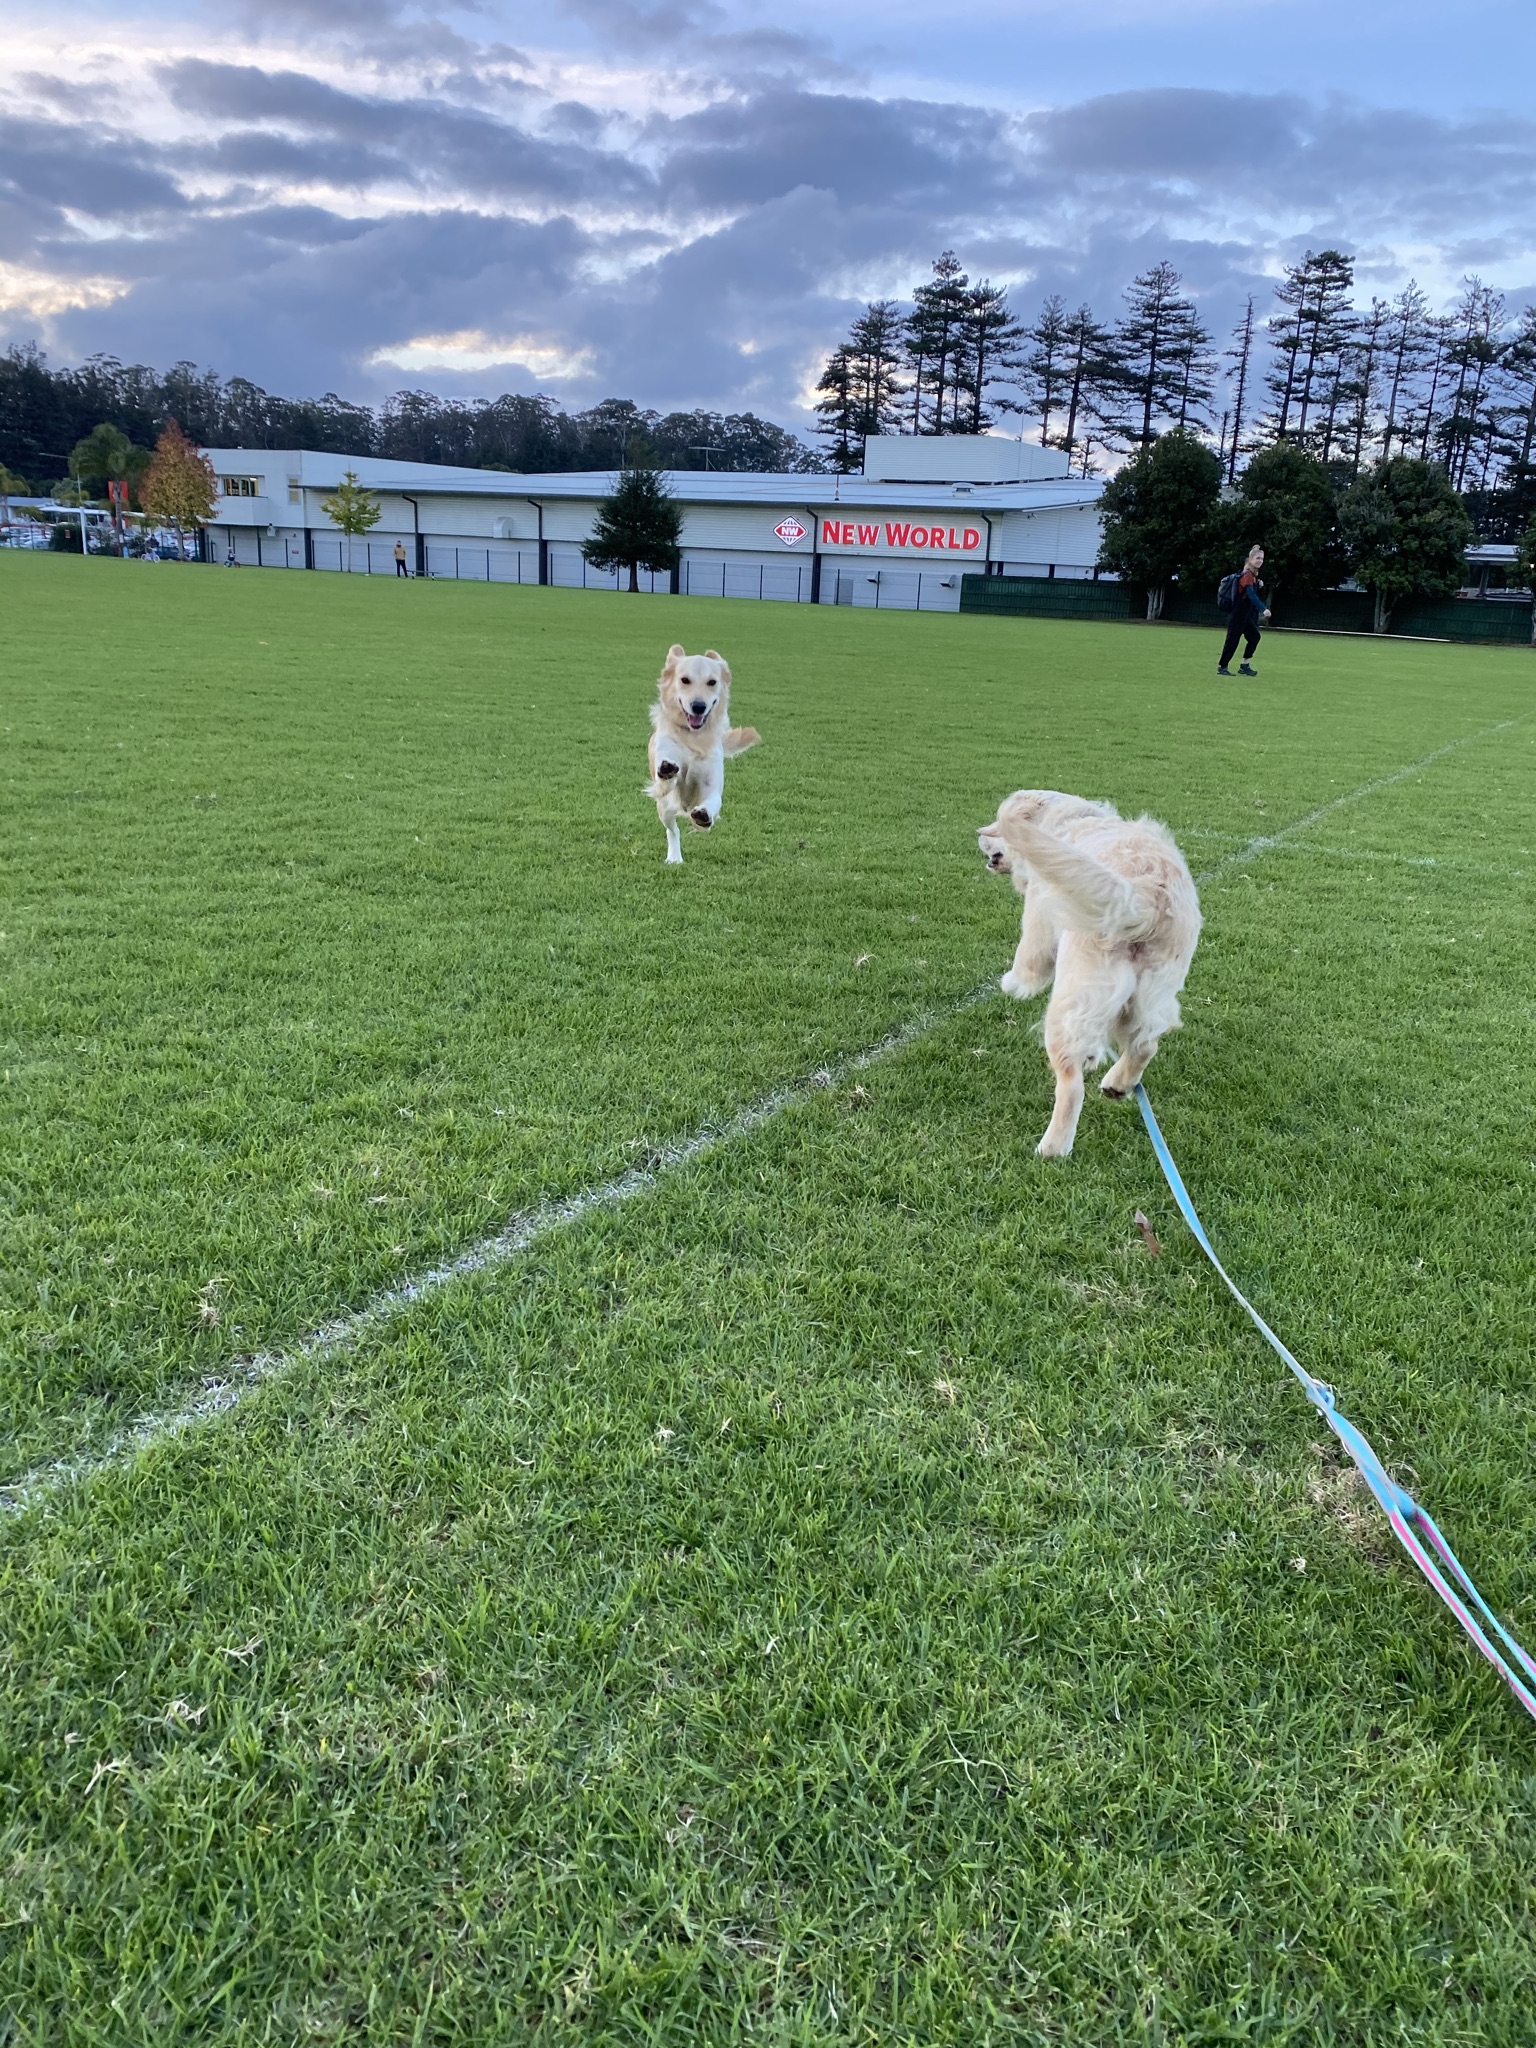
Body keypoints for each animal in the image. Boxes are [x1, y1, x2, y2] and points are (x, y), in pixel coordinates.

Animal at [647, 643, 761, 860]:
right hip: (664, 808)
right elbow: (667, 775)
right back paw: (674, 858)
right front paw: (667, 770)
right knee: (672, 830)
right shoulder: (665, 768)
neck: (694, 737)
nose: (698, 706)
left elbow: (713, 801)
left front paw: (703, 815)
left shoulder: (712, 782)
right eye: (684, 680)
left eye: (712, 682)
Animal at [987, 790, 1204, 1163]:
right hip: (1152, 993)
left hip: (1073, 998)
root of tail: (1147, 896)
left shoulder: (1038, 916)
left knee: (1071, 1084)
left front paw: (1011, 983)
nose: (980, 838)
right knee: (1145, 1044)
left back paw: (1052, 1148)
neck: (1069, 820)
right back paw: (1117, 1084)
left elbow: (1029, 960)